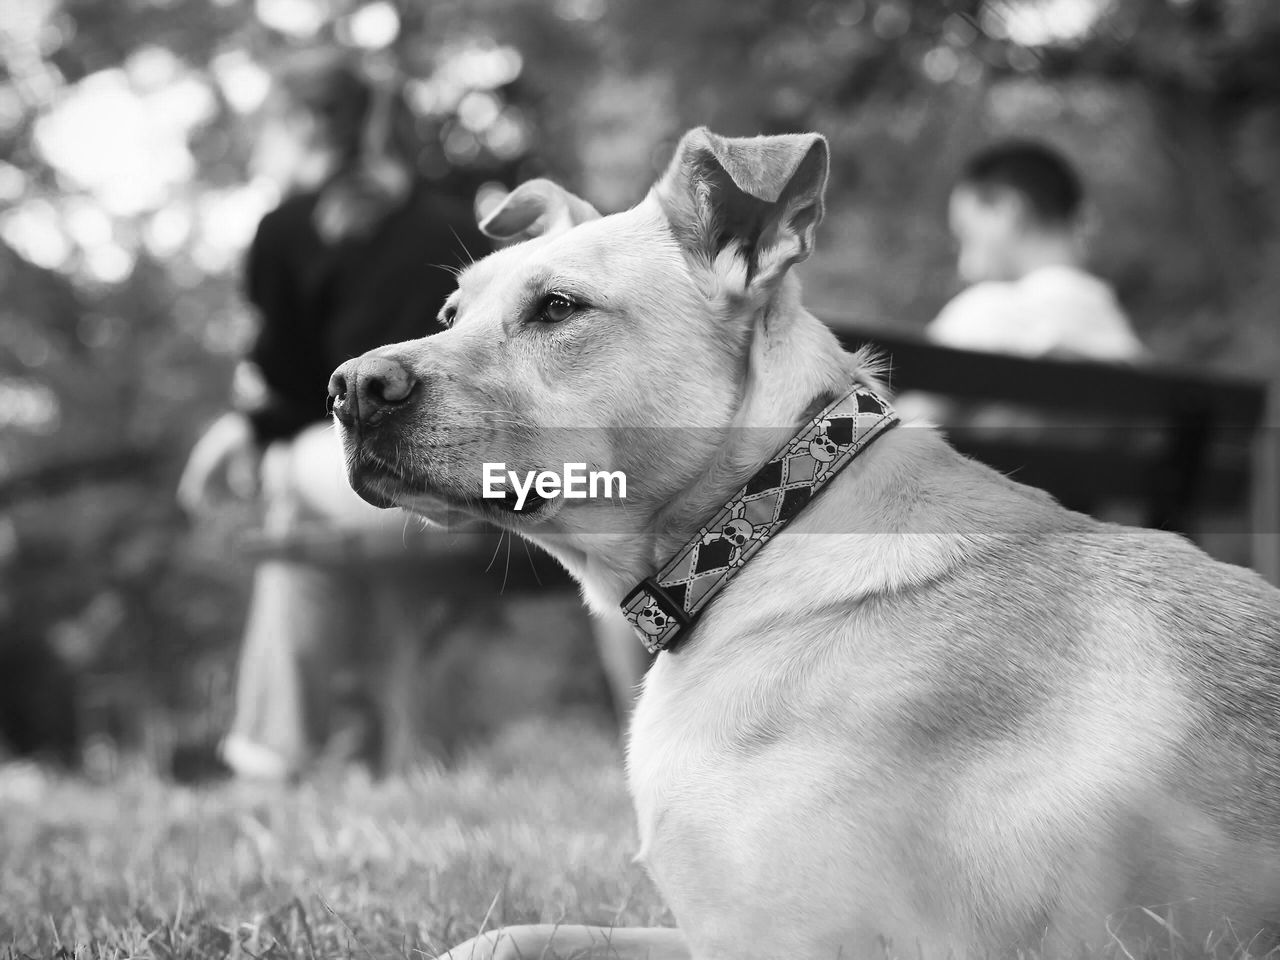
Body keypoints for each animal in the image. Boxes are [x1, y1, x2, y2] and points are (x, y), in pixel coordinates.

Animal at [325, 129, 1280, 960]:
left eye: (557, 308)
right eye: (452, 311)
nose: (348, 387)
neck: (762, 529)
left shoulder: (797, 943)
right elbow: (507, 935)